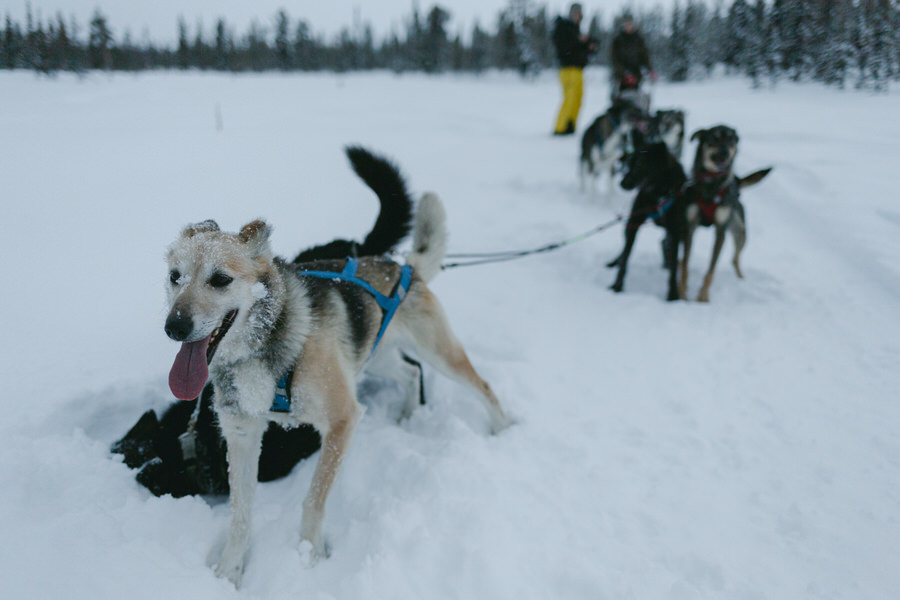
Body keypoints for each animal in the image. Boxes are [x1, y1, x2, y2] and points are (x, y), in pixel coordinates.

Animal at [608, 131, 684, 300]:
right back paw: (614, 261)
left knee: (665, 244)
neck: (659, 194)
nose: (622, 183)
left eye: (639, 165)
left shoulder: (675, 230)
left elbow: (674, 267)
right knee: (624, 249)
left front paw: (673, 295)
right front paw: (617, 286)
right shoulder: (633, 223)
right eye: (629, 163)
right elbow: (626, 257)